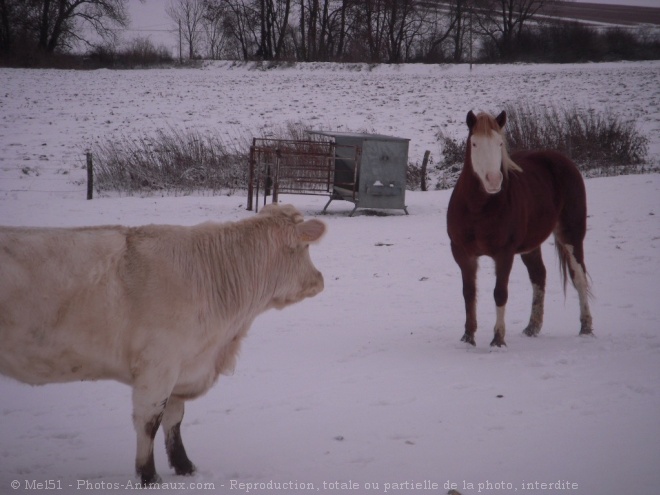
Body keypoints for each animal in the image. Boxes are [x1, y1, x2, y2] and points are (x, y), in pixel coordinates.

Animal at [1, 203, 326, 486]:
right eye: (307, 247)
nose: (320, 280)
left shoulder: (181, 368)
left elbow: (175, 418)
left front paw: (184, 465)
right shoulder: (158, 365)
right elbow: (150, 421)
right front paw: (148, 475)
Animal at [448, 110, 592, 346]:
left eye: (499, 143)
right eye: (474, 144)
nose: (493, 180)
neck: (478, 209)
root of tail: (562, 160)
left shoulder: (504, 254)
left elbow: (500, 293)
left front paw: (498, 339)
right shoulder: (462, 253)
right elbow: (468, 292)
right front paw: (468, 337)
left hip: (571, 235)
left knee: (579, 277)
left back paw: (586, 327)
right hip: (530, 246)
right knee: (539, 277)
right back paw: (532, 327)